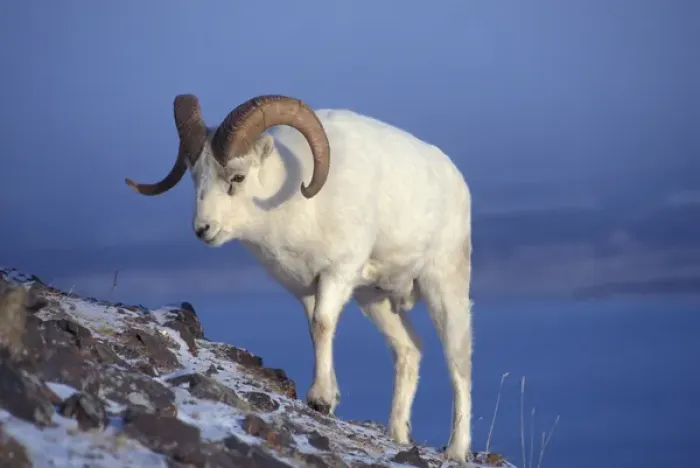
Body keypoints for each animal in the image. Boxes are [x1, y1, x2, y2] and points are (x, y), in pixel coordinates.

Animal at [125, 94, 475, 462]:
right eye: (196, 177)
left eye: (237, 178)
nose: (203, 229)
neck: (296, 206)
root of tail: (455, 179)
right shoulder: (308, 290)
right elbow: (315, 330)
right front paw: (327, 400)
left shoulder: (336, 274)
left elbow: (323, 324)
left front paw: (320, 398)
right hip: (375, 299)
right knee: (409, 351)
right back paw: (398, 434)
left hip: (444, 288)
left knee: (459, 365)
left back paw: (456, 450)